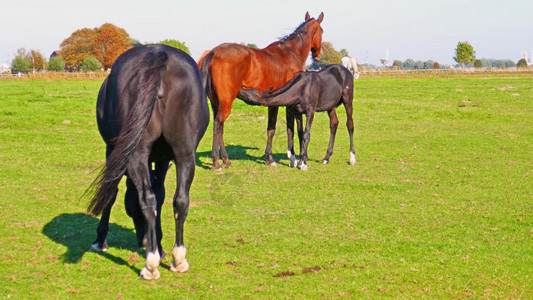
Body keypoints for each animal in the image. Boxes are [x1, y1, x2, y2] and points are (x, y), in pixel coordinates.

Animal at [86, 44, 209, 278]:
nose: (142, 240)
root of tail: (158, 53)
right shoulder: (162, 159)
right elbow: (160, 195)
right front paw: (160, 248)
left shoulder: (113, 151)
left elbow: (111, 192)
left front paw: (100, 240)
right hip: (185, 153)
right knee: (180, 200)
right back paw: (178, 259)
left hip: (136, 153)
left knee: (147, 198)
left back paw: (150, 264)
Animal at [198, 11, 324, 170]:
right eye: (322, 31)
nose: (318, 54)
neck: (291, 54)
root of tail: (213, 53)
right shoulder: (284, 105)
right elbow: (278, 129)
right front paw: (275, 158)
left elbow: (284, 129)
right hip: (226, 102)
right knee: (218, 125)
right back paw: (216, 162)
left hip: (216, 103)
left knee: (219, 126)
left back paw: (225, 160)